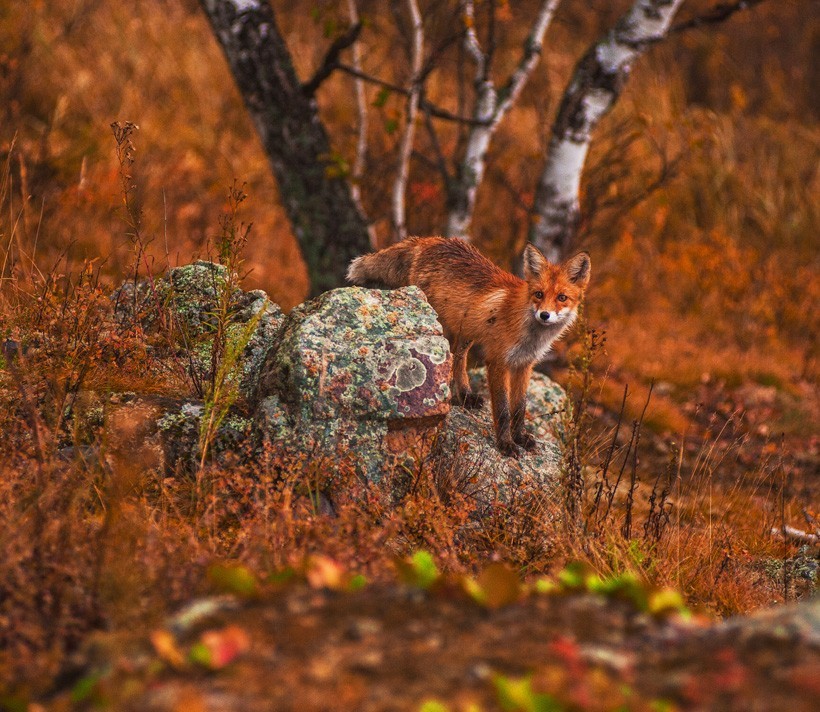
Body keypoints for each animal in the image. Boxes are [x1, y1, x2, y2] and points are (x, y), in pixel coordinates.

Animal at [346, 236, 588, 458]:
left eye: (562, 297)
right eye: (539, 294)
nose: (544, 315)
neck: (529, 333)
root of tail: (428, 240)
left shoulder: (524, 365)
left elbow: (519, 408)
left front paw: (519, 437)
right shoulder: (498, 362)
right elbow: (503, 410)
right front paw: (506, 444)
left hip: (465, 333)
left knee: (458, 359)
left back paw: (464, 395)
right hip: (439, 325)